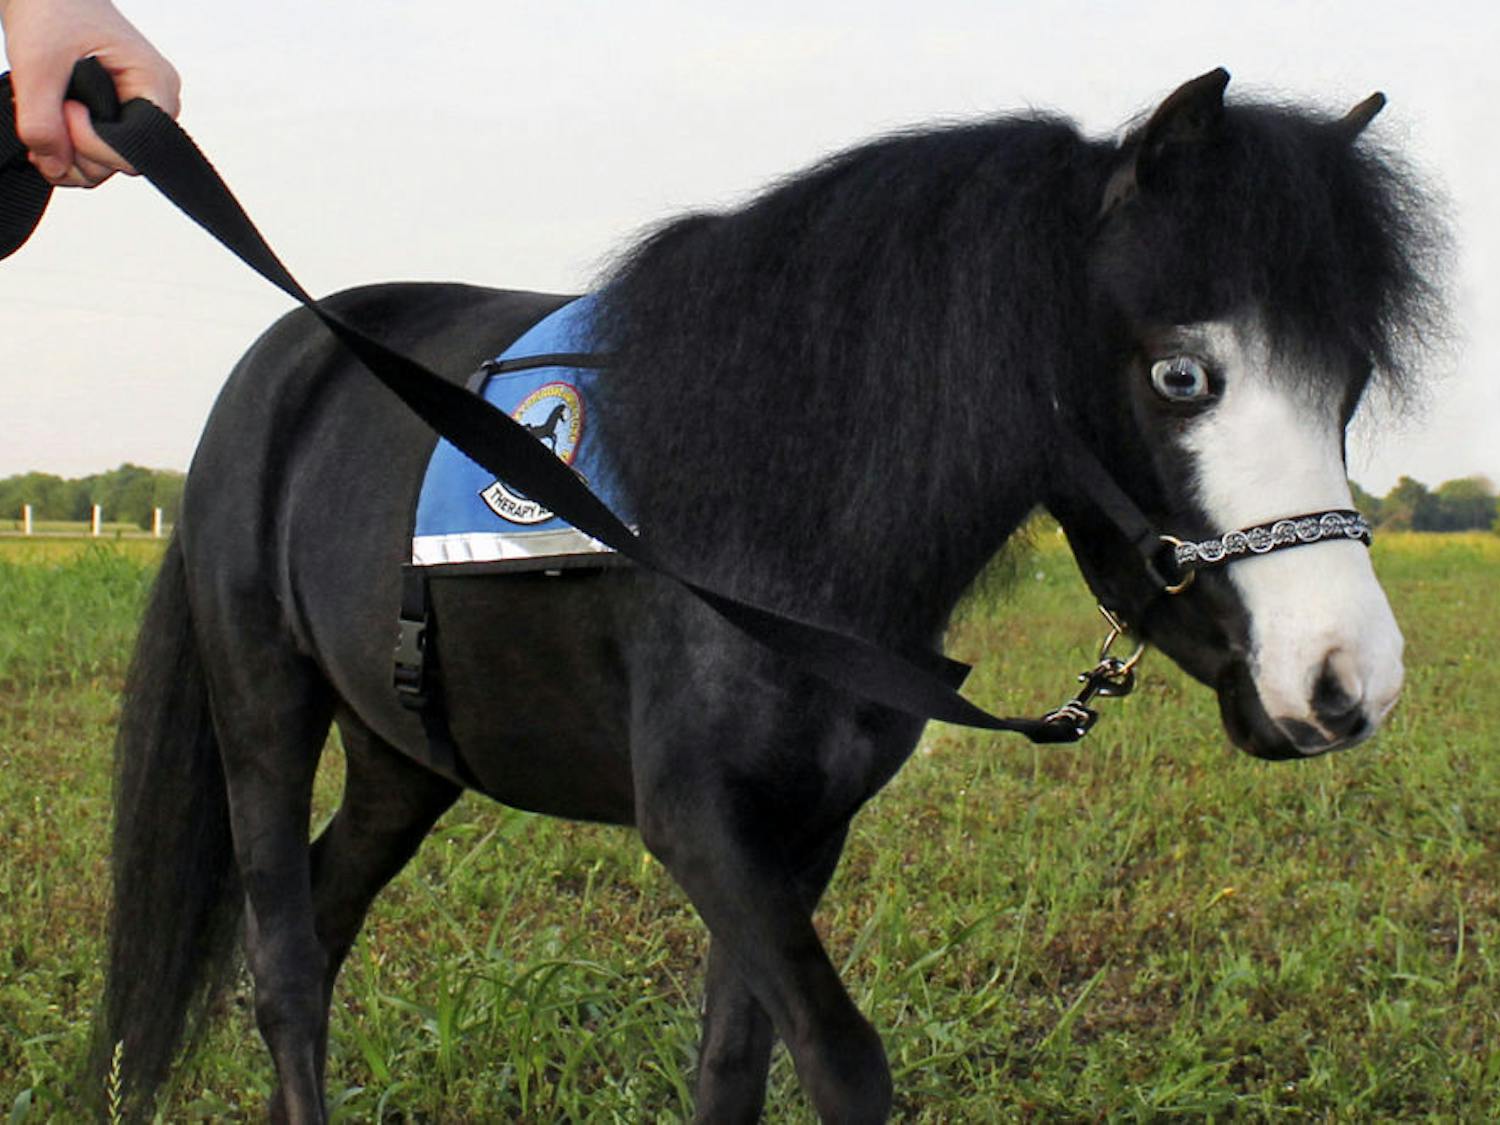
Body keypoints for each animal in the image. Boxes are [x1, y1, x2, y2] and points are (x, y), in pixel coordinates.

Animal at [91, 69, 1442, 1121]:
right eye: (1180, 374)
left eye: (1347, 382)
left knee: (320, 930)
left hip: (403, 758)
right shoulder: (700, 820)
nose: (1347, 682)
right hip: (263, 713)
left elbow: (735, 1067)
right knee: (283, 969)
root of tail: (288, 357)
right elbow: (843, 1065)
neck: (788, 522)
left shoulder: (803, 831)